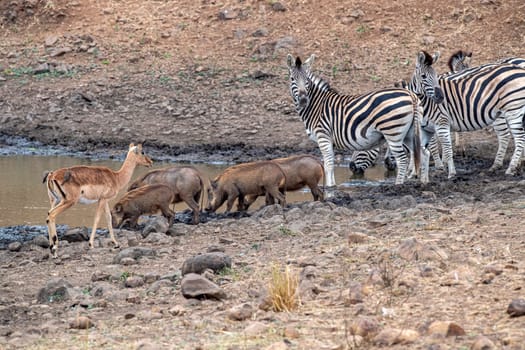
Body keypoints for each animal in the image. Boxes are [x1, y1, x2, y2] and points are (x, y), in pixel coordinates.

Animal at [284, 54, 432, 191]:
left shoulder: (323, 136)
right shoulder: (328, 139)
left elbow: (328, 163)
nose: (303, 100)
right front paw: (333, 185)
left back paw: (398, 185)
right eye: (292, 79)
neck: (317, 105)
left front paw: (330, 187)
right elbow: (330, 162)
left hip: (393, 132)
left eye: (307, 80)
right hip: (409, 133)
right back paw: (424, 182)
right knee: (424, 153)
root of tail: (411, 95)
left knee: (402, 159)